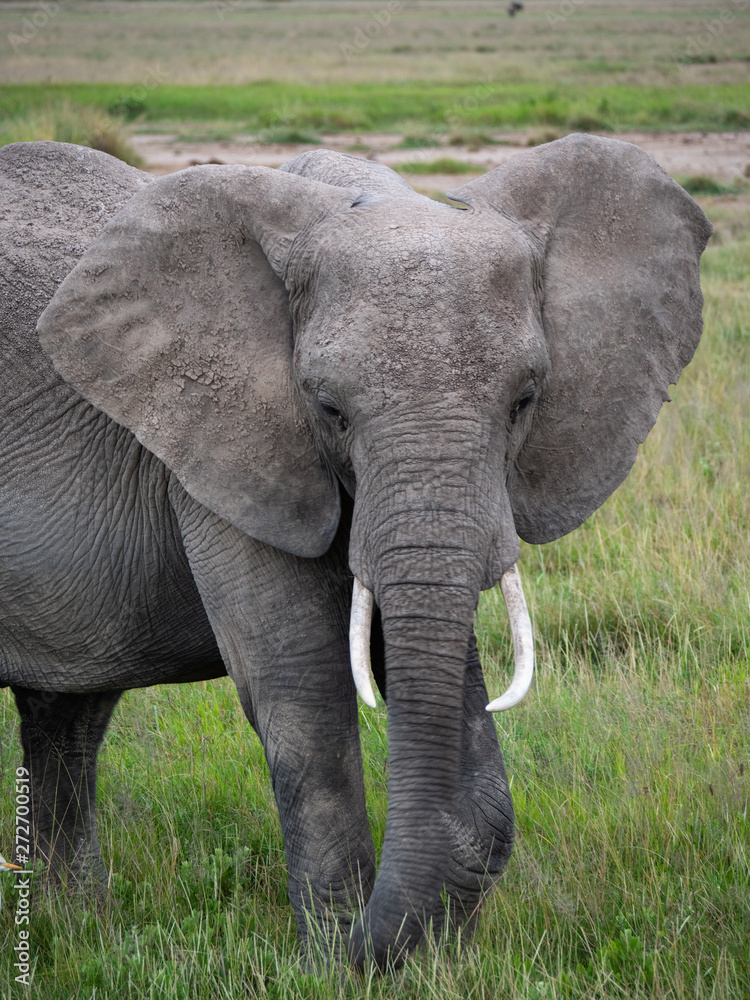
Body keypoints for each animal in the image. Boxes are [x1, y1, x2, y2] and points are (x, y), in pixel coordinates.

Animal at [0, 137, 712, 964]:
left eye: (525, 400)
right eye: (329, 408)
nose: (365, 937)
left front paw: (436, 957)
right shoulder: (214, 449)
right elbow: (304, 684)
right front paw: (333, 962)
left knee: (67, 717)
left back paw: (76, 928)